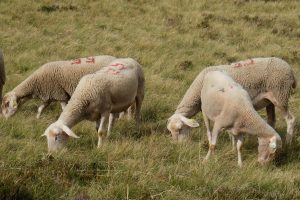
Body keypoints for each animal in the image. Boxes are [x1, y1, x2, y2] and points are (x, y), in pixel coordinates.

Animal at [168, 56, 296, 145]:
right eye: (170, 131)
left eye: (180, 129)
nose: (178, 146)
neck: (198, 88)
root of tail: (290, 70)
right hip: (269, 101)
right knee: (271, 120)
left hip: (280, 95)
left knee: (290, 119)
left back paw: (288, 142)